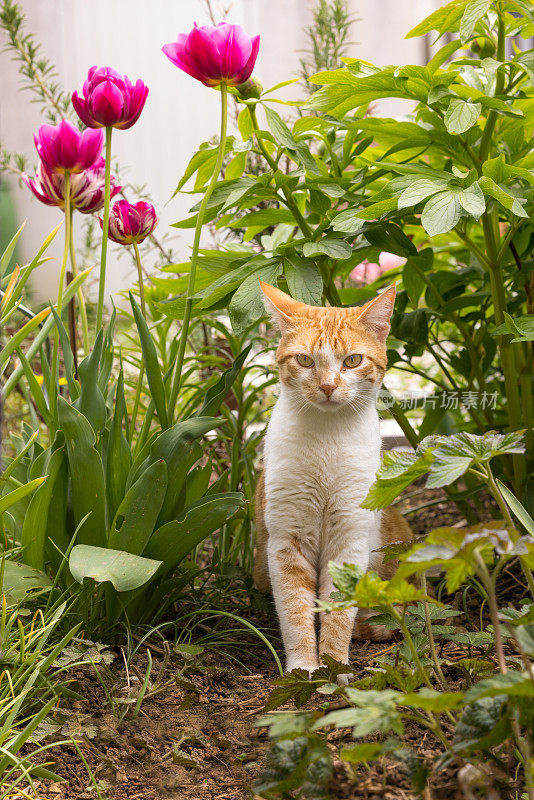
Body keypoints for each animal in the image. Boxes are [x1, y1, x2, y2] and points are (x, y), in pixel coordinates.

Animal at [253, 280, 412, 676]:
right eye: (305, 360)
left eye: (352, 360)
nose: (327, 387)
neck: (327, 439)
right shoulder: (287, 540)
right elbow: (295, 610)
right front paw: (304, 668)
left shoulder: (350, 538)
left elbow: (339, 611)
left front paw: (335, 667)